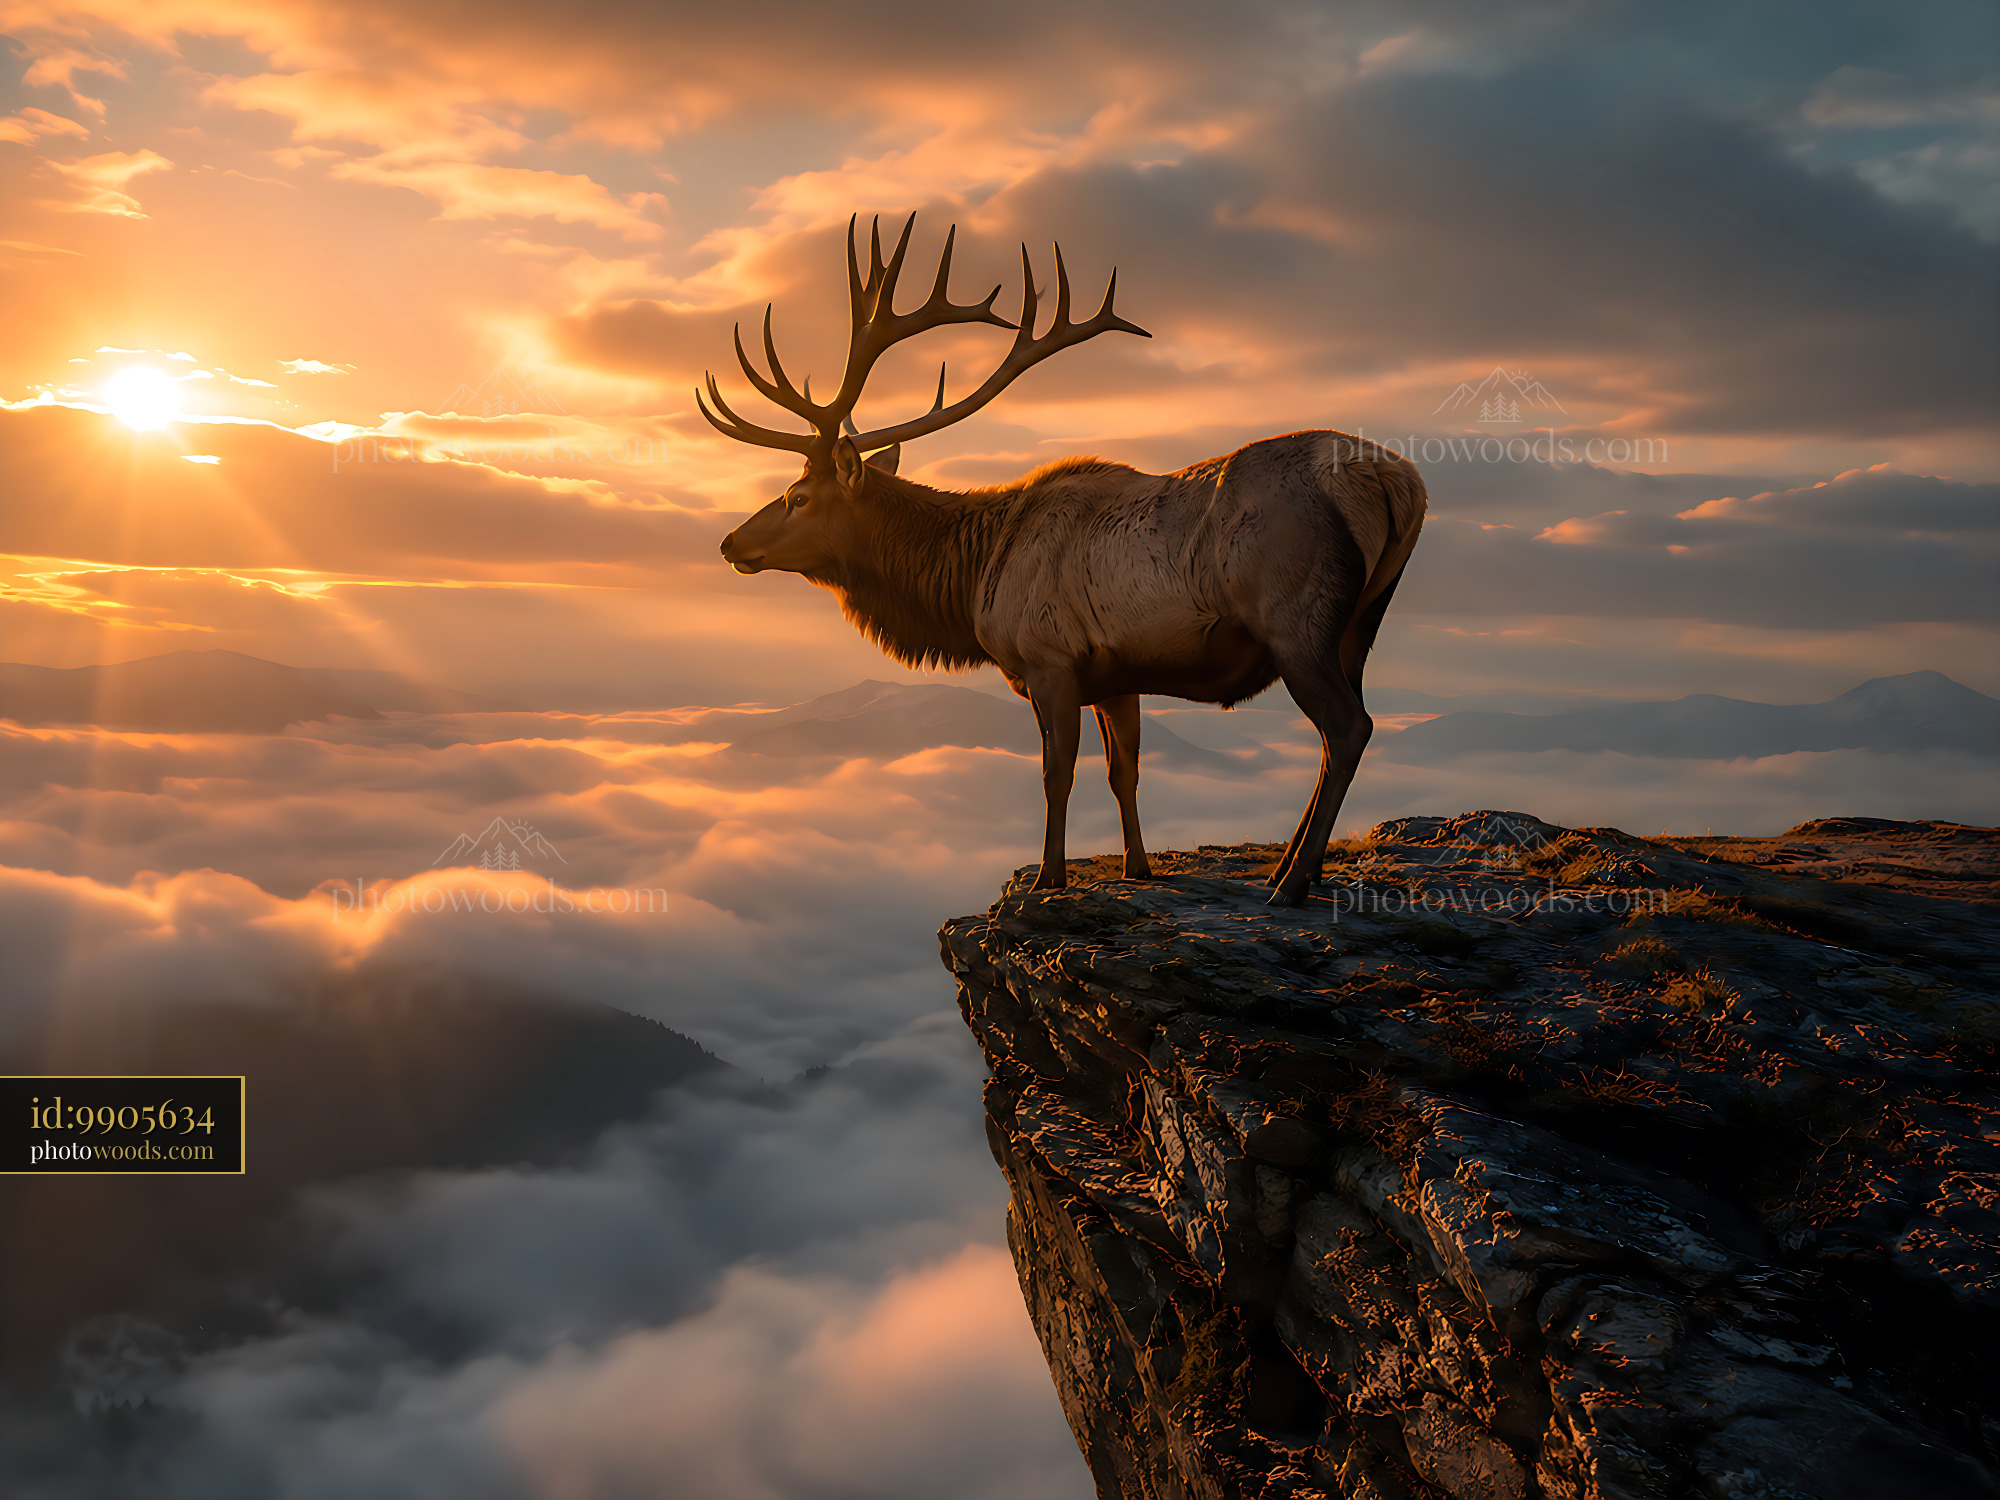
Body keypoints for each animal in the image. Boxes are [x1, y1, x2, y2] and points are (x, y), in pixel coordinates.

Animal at [707, 215, 1425, 905]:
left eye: (798, 496)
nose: (730, 543)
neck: (974, 579)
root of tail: (1400, 482)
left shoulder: (1048, 661)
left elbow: (1057, 774)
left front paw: (1048, 876)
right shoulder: (1119, 674)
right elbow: (1123, 770)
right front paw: (1137, 866)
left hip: (1295, 620)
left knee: (1348, 727)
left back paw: (1291, 880)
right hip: (1359, 623)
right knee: (1341, 731)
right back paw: (1300, 867)